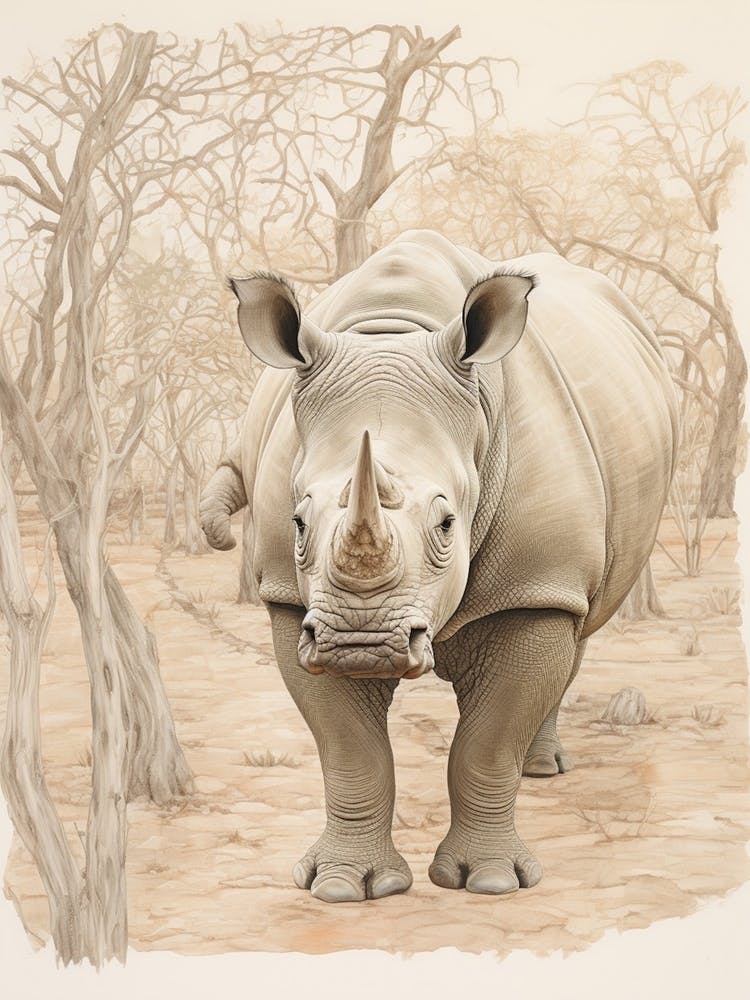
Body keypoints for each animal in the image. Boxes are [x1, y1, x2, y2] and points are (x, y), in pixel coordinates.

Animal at [200, 229, 678, 902]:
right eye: (297, 522)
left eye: (448, 523)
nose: (361, 642)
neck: (393, 330)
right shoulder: (293, 603)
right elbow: (349, 750)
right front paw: (342, 887)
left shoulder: (534, 585)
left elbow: (488, 742)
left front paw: (492, 884)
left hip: (569, 563)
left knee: (580, 622)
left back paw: (542, 771)